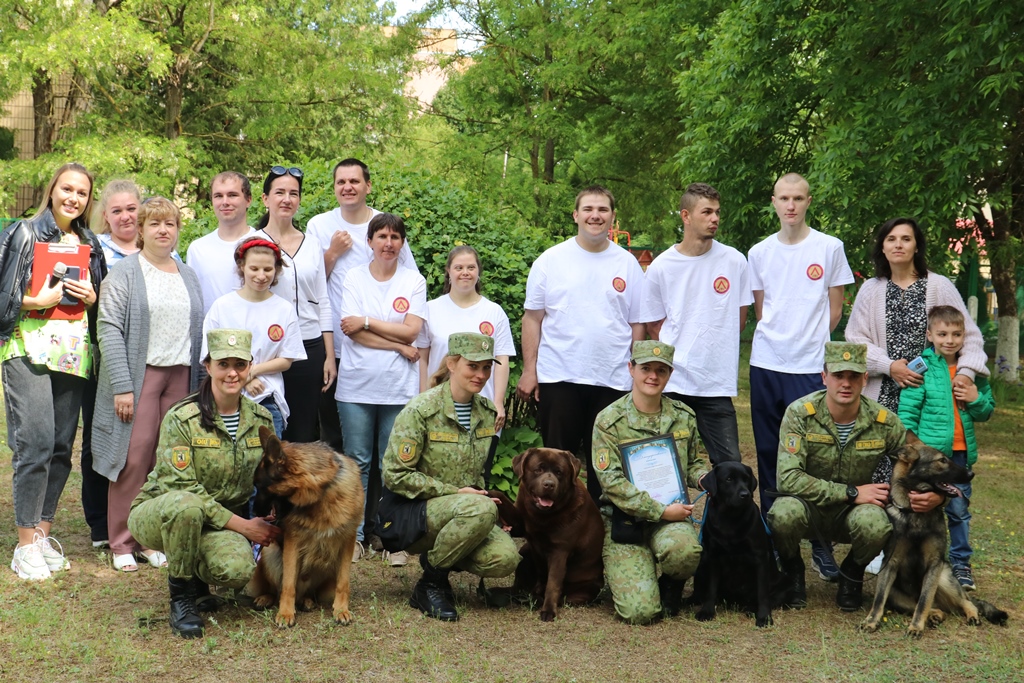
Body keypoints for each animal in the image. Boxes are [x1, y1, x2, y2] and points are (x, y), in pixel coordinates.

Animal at [244, 430, 364, 626]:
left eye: (260, 486)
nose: (254, 513)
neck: (323, 492)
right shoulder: (292, 542)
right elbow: (288, 584)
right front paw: (285, 613)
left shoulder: (348, 541)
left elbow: (343, 582)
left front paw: (341, 610)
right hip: (269, 551)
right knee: (277, 589)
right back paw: (266, 598)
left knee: (309, 593)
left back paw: (307, 601)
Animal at [489, 446, 602, 622]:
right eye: (538, 469)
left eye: (559, 472)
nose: (549, 485)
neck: (542, 516)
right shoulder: (520, 523)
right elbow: (501, 497)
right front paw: (481, 490)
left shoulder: (560, 552)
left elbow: (553, 583)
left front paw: (548, 610)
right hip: (525, 550)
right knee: (519, 587)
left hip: (587, 589)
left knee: (562, 596)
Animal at [856, 446, 1007, 638]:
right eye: (942, 460)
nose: (971, 473)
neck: (915, 512)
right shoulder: (890, 564)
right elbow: (879, 599)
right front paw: (871, 621)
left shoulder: (933, 565)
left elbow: (924, 601)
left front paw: (915, 627)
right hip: (896, 595)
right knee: (935, 609)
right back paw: (935, 616)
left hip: (943, 578)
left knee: (966, 603)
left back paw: (971, 616)